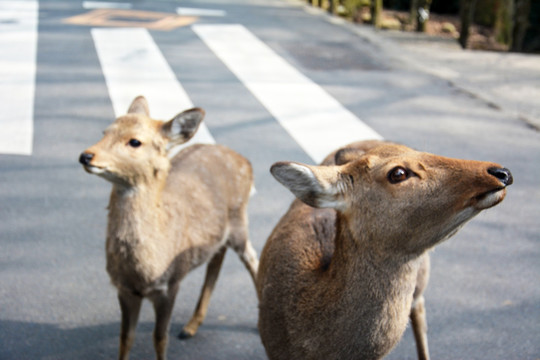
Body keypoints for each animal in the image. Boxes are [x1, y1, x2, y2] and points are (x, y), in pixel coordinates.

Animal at [77, 95, 260, 360]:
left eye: (135, 141)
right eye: (105, 132)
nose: (86, 156)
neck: (145, 270)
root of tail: (245, 160)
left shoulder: (170, 284)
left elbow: (160, 338)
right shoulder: (123, 288)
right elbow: (125, 338)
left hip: (240, 221)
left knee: (252, 258)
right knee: (217, 257)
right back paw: (191, 326)